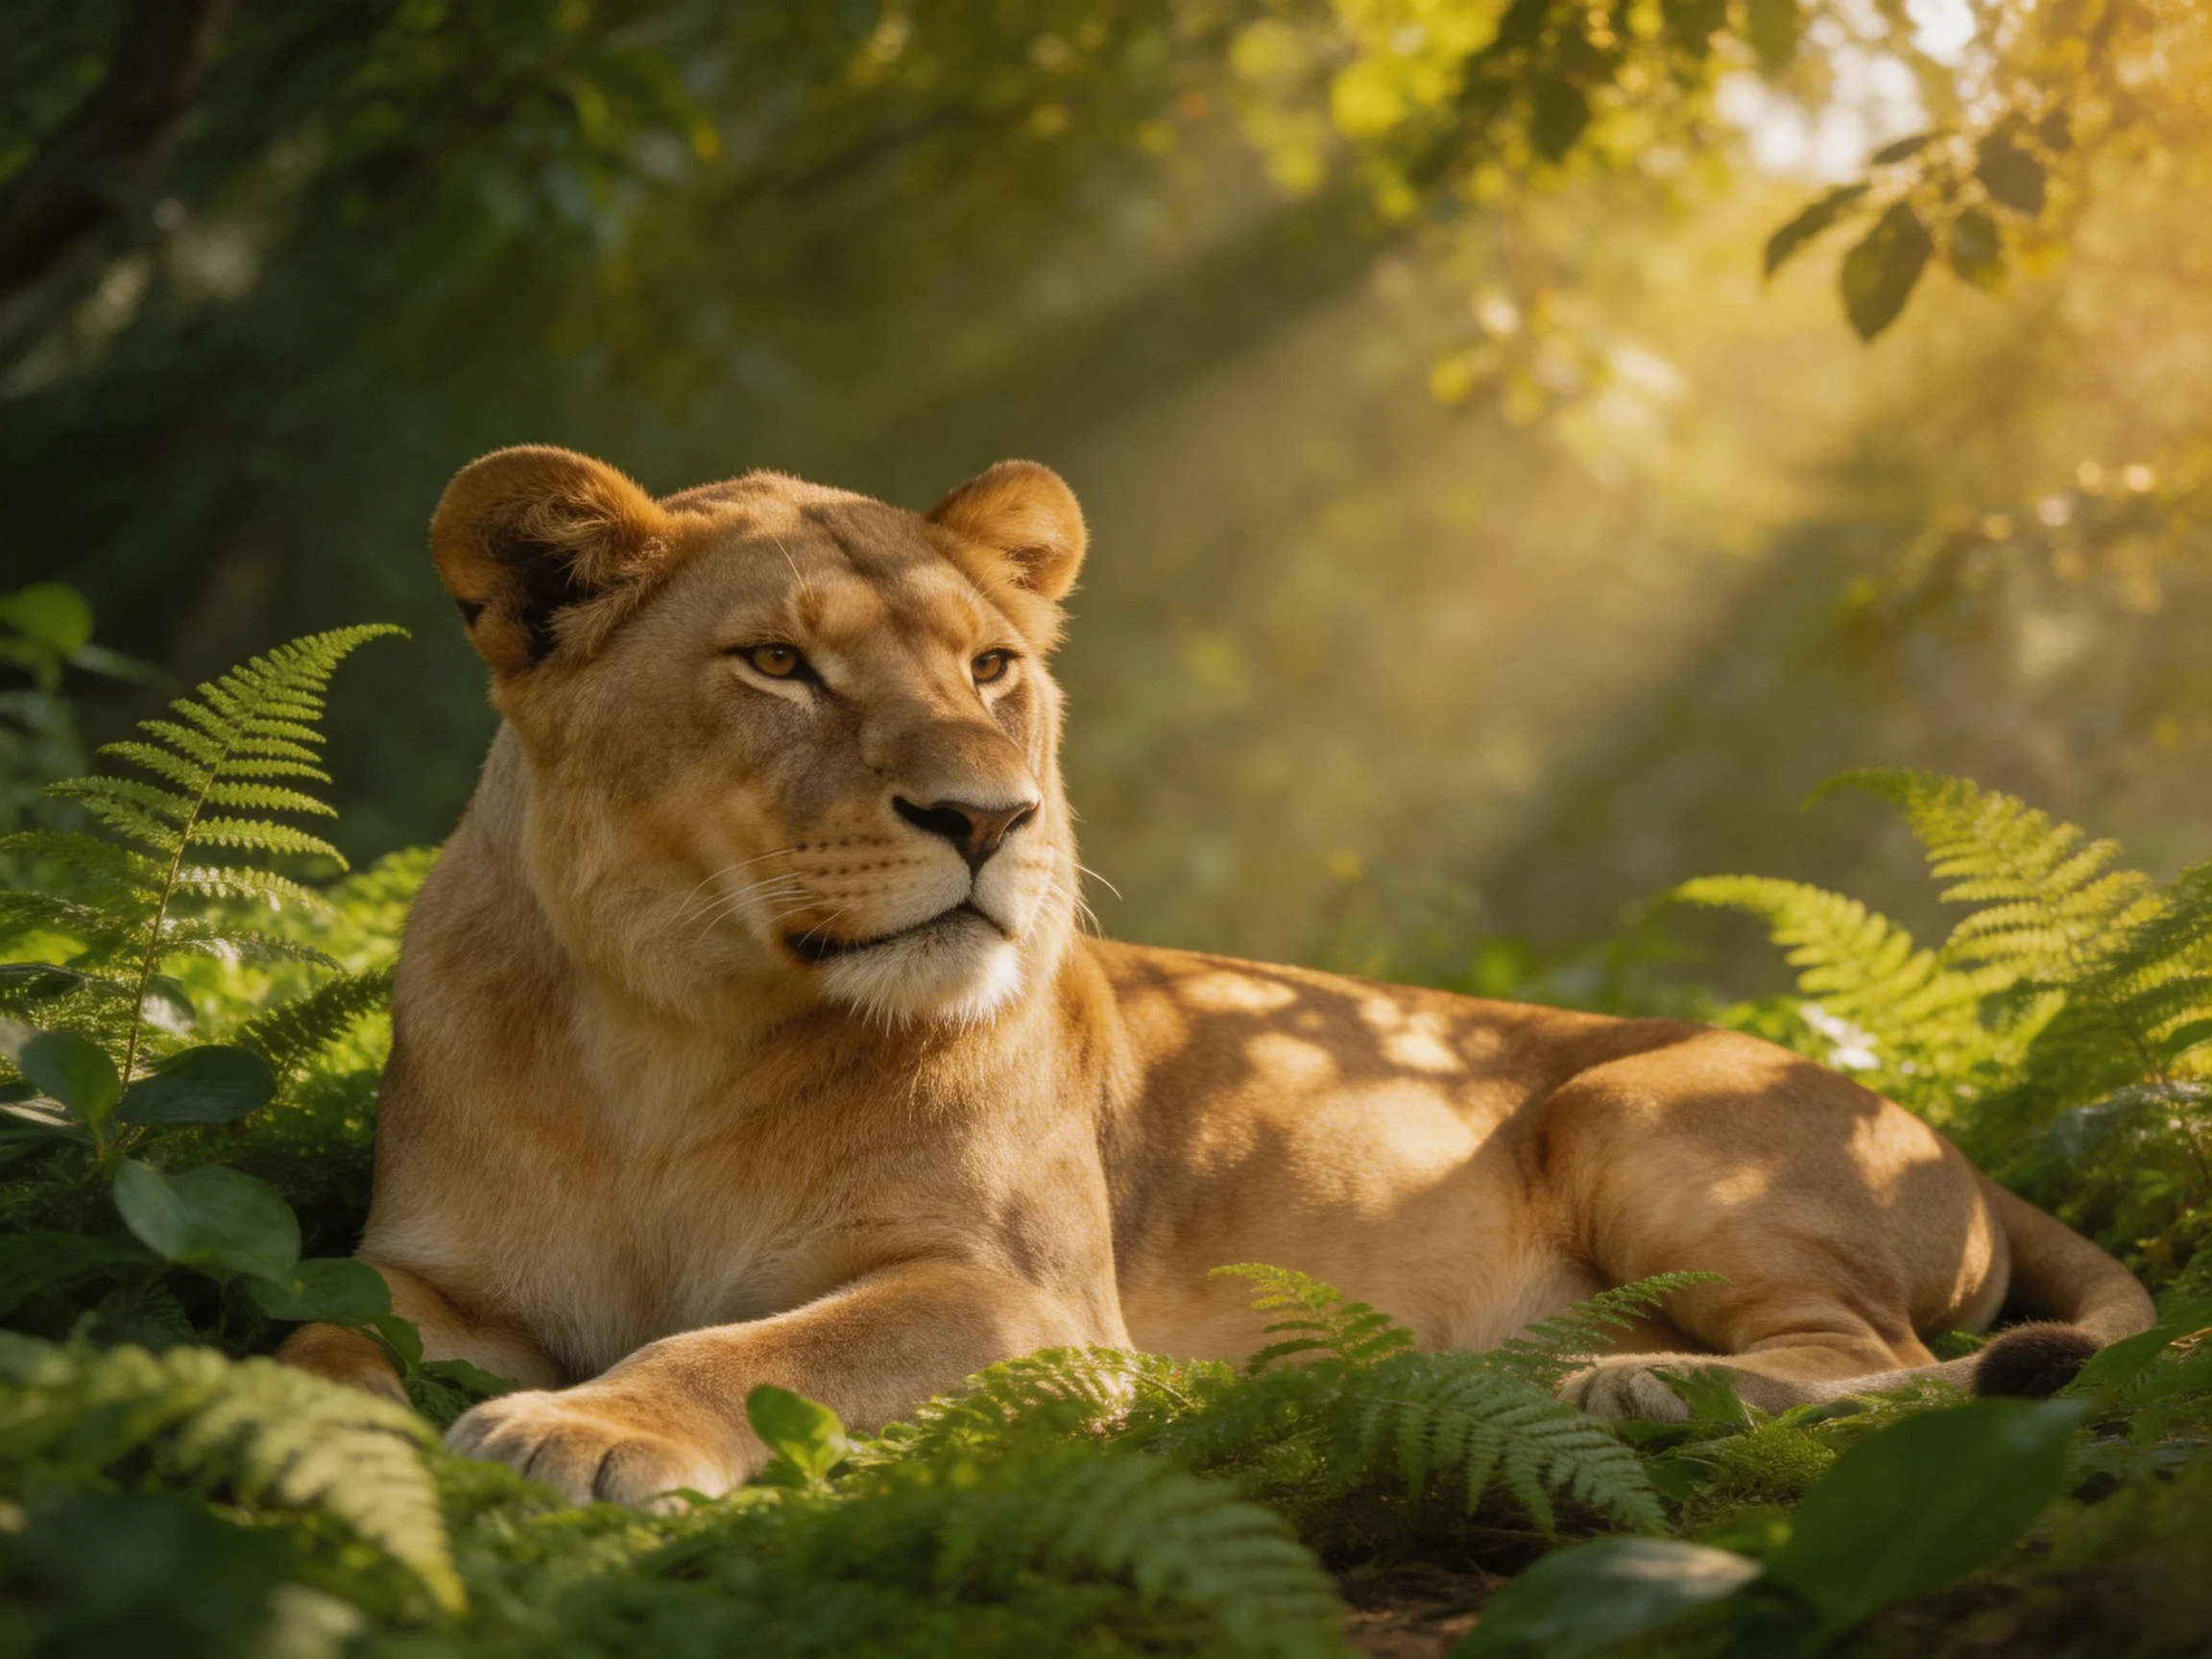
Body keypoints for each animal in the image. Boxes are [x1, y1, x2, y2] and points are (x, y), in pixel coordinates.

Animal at [279, 445, 2154, 1507]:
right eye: (775, 666)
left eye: (991, 668)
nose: (992, 816)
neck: (672, 1025)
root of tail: (1957, 1145)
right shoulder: (428, 1271)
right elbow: (315, 1330)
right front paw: (297, 1434)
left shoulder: (1030, 1309)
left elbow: (754, 1349)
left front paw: (589, 1428)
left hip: (1640, 1105)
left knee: (1879, 1356)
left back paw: (1644, 1389)